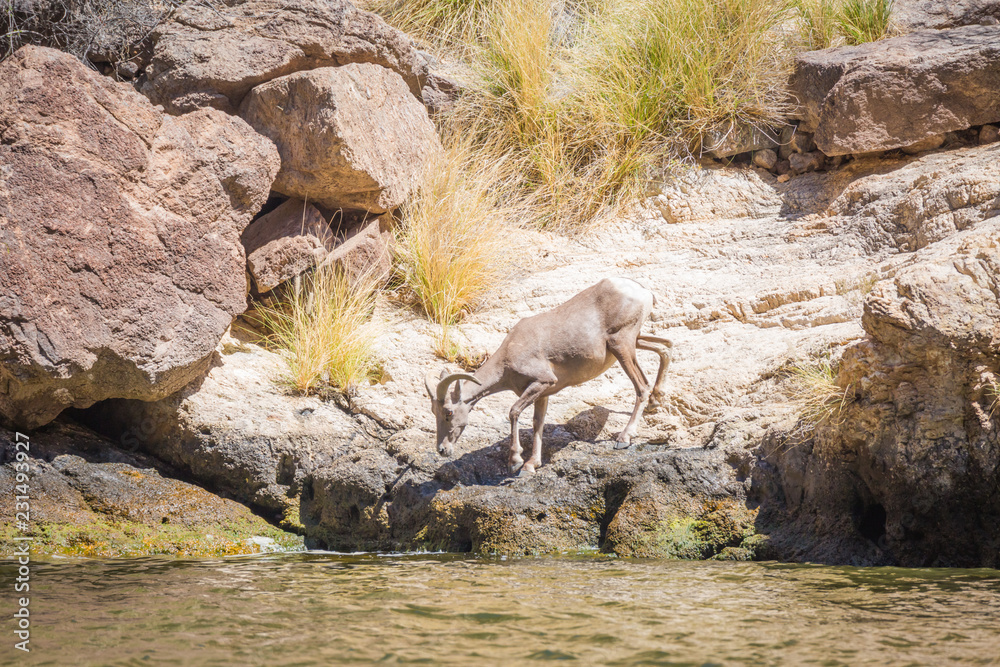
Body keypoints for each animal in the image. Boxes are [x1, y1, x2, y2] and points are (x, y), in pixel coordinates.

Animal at [424, 277, 672, 474]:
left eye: (448, 412)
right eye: (433, 412)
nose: (442, 450)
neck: (508, 356)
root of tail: (643, 291)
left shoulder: (542, 382)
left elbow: (514, 412)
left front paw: (515, 462)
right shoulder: (542, 393)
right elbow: (538, 423)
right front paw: (531, 465)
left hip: (621, 344)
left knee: (642, 385)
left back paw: (624, 438)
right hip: (632, 341)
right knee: (666, 347)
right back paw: (656, 402)